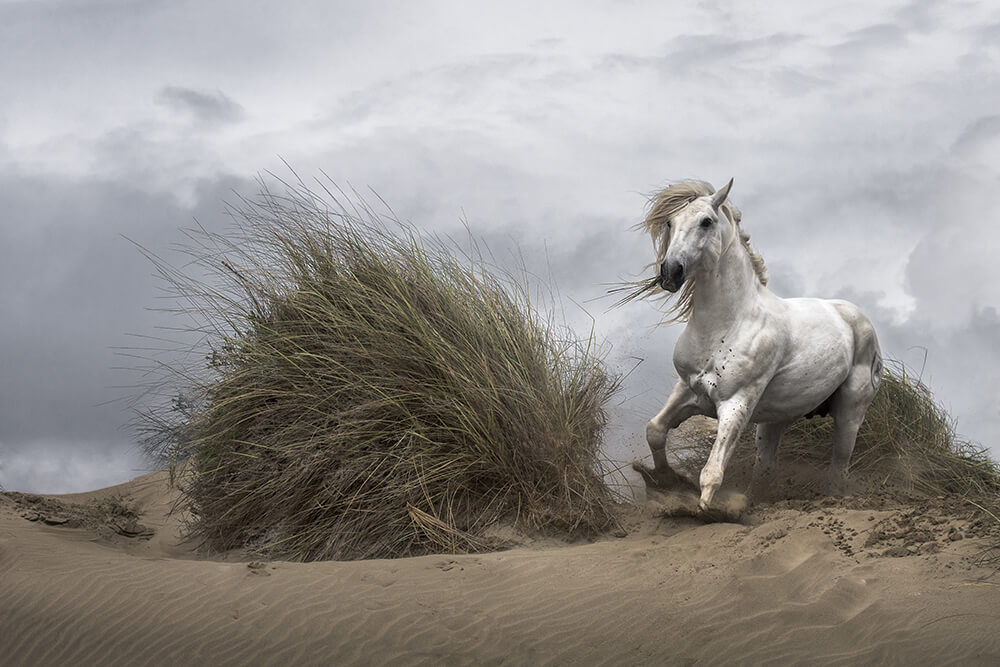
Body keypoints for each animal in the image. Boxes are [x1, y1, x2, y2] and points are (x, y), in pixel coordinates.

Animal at [632, 180, 884, 516]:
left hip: (850, 414)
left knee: (838, 469)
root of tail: (856, 317)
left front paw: (704, 511)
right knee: (766, 467)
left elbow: (712, 472)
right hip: (774, 422)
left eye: (706, 222)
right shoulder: (688, 390)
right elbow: (655, 431)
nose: (670, 273)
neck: (729, 322)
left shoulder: (736, 403)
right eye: (670, 223)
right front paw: (664, 483)